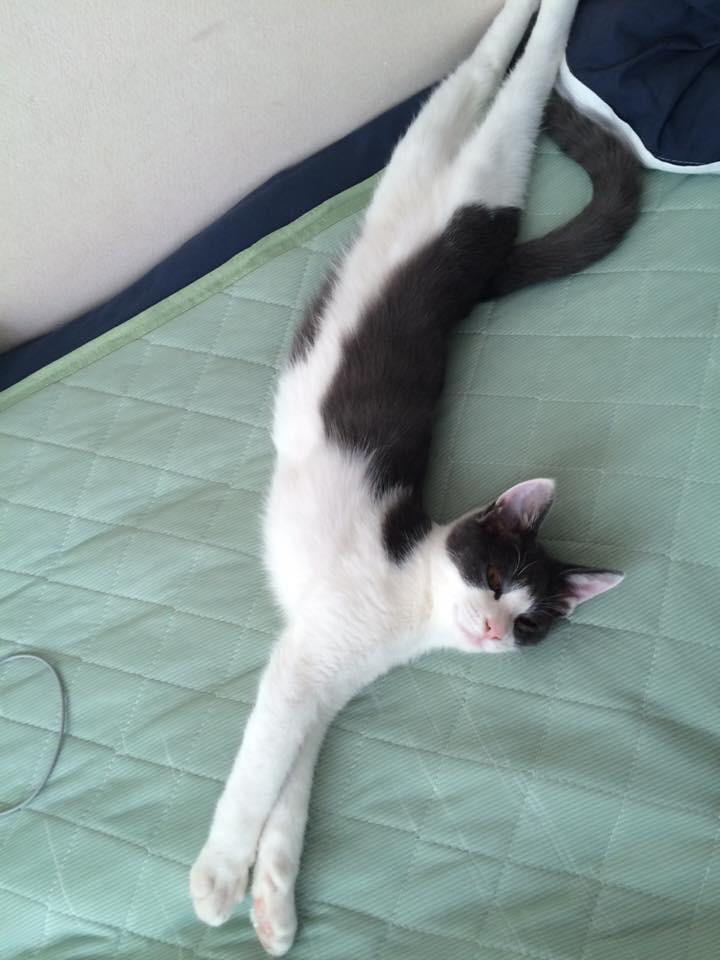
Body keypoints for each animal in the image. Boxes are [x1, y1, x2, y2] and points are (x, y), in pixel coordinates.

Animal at [190, 0, 640, 954]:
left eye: (531, 622)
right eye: (496, 575)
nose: (493, 630)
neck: (409, 613)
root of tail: (469, 265)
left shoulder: (317, 672)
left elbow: (289, 783)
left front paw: (271, 900)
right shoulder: (305, 659)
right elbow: (258, 772)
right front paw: (217, 879)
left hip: (448, 175)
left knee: (470, 95)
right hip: (470, 172)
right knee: (484, 86)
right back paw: (536, 15)